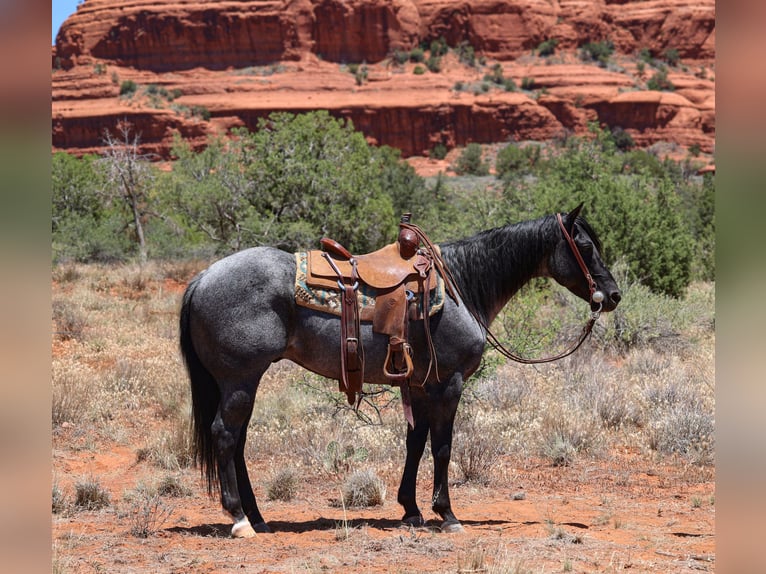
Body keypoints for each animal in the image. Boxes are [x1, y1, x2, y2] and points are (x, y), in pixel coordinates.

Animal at [179, 204, 621, 538]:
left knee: (237, 441)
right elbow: (442, 448)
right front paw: (447, 513)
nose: (613, 295)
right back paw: (239, 520)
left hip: (240, 383)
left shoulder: (422, 385)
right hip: (240, 381)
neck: (461, 287)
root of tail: (203, 277)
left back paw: (257, 517)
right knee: (225, 436)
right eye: (584, 245)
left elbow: (415, 443)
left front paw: (411, 509)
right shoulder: (449, 385)